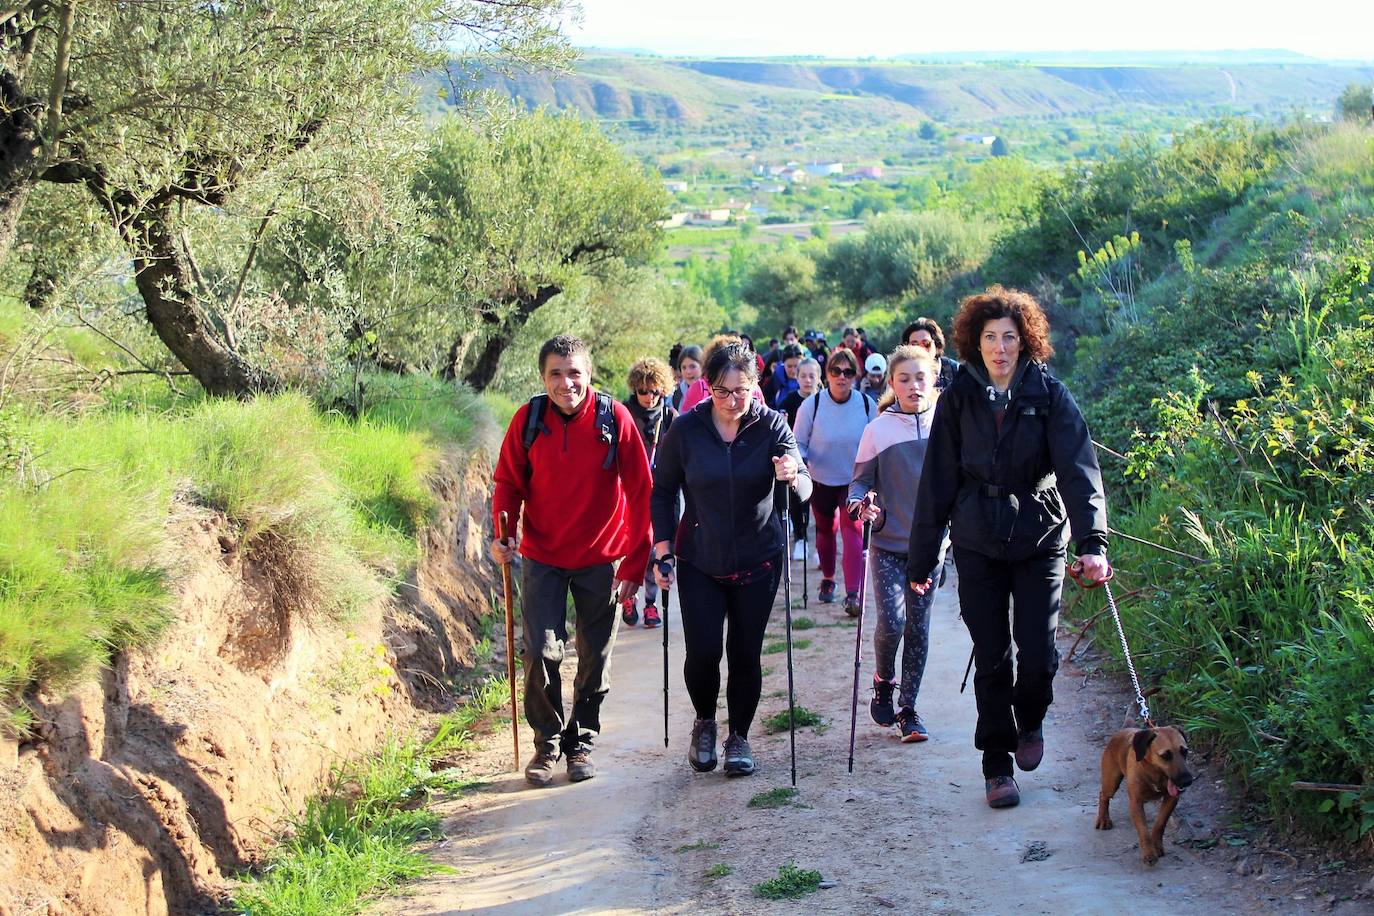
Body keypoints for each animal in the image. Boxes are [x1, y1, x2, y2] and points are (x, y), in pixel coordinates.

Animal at [1093, 725, 1192, 867]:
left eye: (1185, 751)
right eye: (1165, 755)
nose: (1187, 781)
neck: (1155, 773)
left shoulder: (1172, 799)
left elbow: (1160, 823)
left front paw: (1156, 846)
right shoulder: (1136, 802)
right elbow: (1143, 830)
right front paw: (1149, 853)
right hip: (1111, 782)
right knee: (1103, 796)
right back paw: (1103, 819)